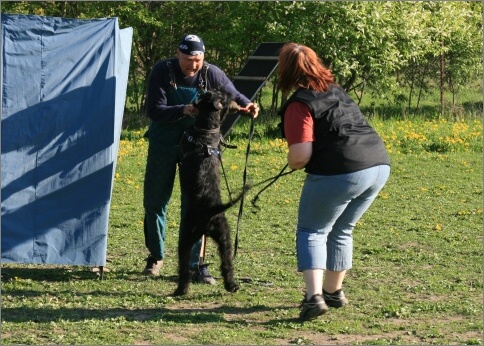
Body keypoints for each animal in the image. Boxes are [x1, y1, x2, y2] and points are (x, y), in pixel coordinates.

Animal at [174, 88, 248, 294]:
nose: (232, 95)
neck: (207, 128)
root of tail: (210, 211)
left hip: (187, 233)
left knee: (185, 265)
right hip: (220, 237)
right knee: (225, 263)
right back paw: (230, 285)